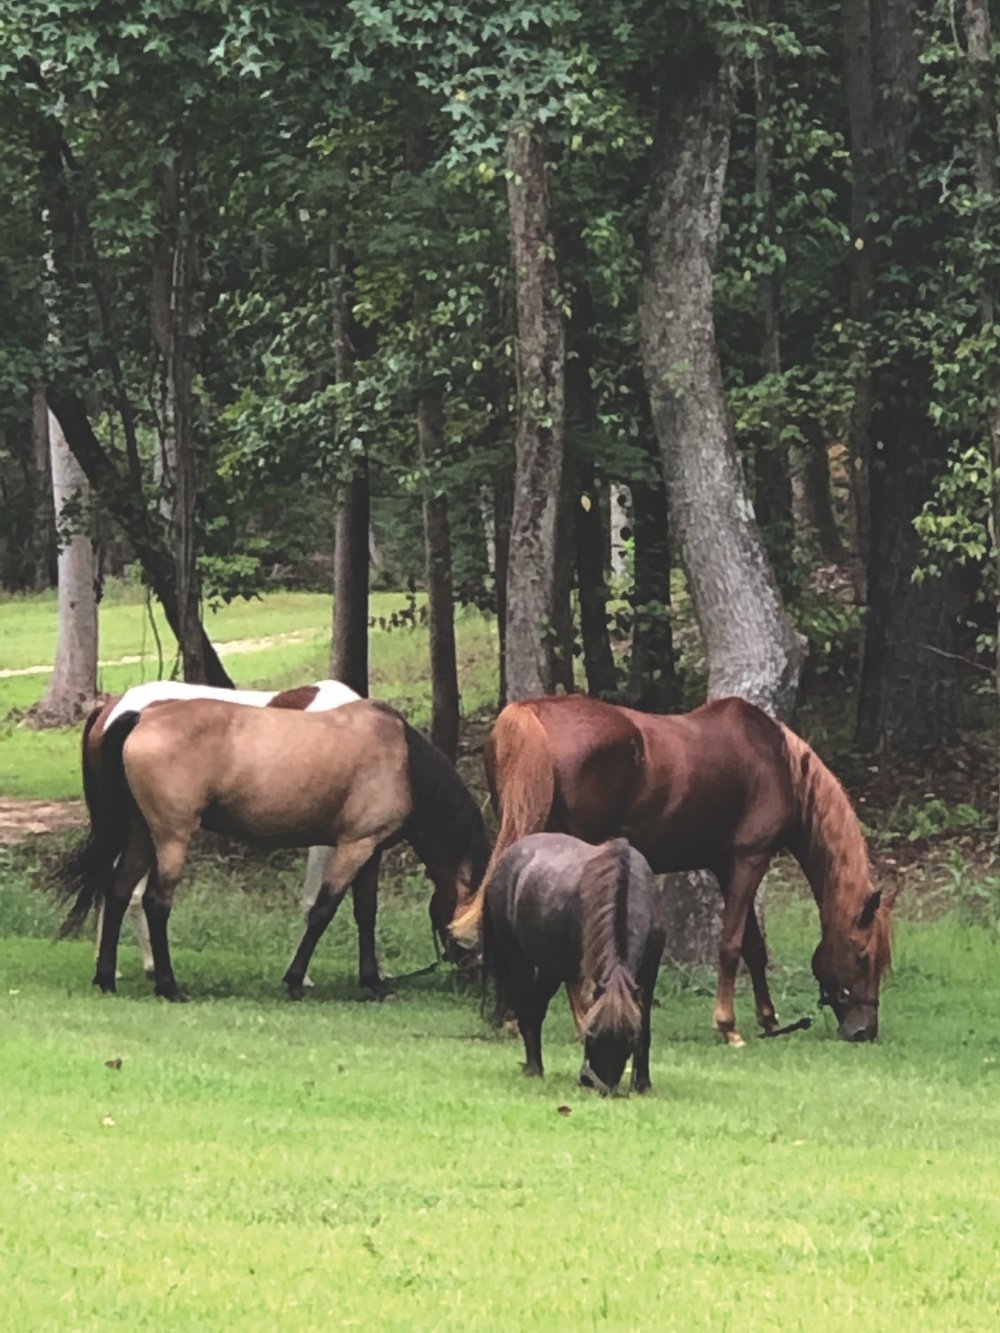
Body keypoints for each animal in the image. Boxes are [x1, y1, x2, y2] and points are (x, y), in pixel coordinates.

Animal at [451, 694, 894, 1045]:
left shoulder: (727, 867)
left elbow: (752, 947)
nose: (864, 1031)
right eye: (863, 956)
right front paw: (728, 1027)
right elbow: (731, 946)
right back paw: (580, 1023)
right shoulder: (750, 860)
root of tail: (531, 712)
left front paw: (768, 1020)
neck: (777, 762)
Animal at [483, 834, 666, 1094]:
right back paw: (534, 1067)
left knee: (536, 1008)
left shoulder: (649, 974)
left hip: (550, 970)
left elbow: (646, 1028)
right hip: (520, 962)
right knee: (526, 1006)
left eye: (629, 1040)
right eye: (591, 1035)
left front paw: (643, 1083)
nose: (599, 1085)